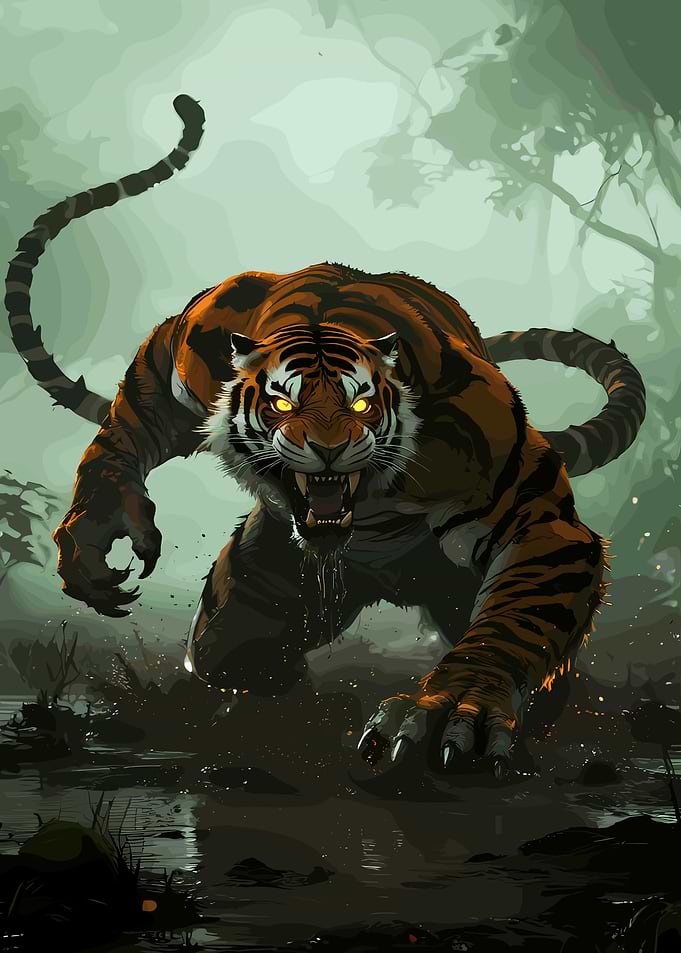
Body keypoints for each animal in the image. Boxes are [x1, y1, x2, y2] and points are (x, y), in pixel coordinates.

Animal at [6, 96, 646, 777]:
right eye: (282, 399)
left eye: (361, 400)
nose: (328, 448)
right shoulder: (185, 345)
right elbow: (127, 428)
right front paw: (99, 528)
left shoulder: (530, 513)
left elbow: (508, 626)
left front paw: (453, 708)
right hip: (264, 587)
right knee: (225, 650)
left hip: (451, 586)